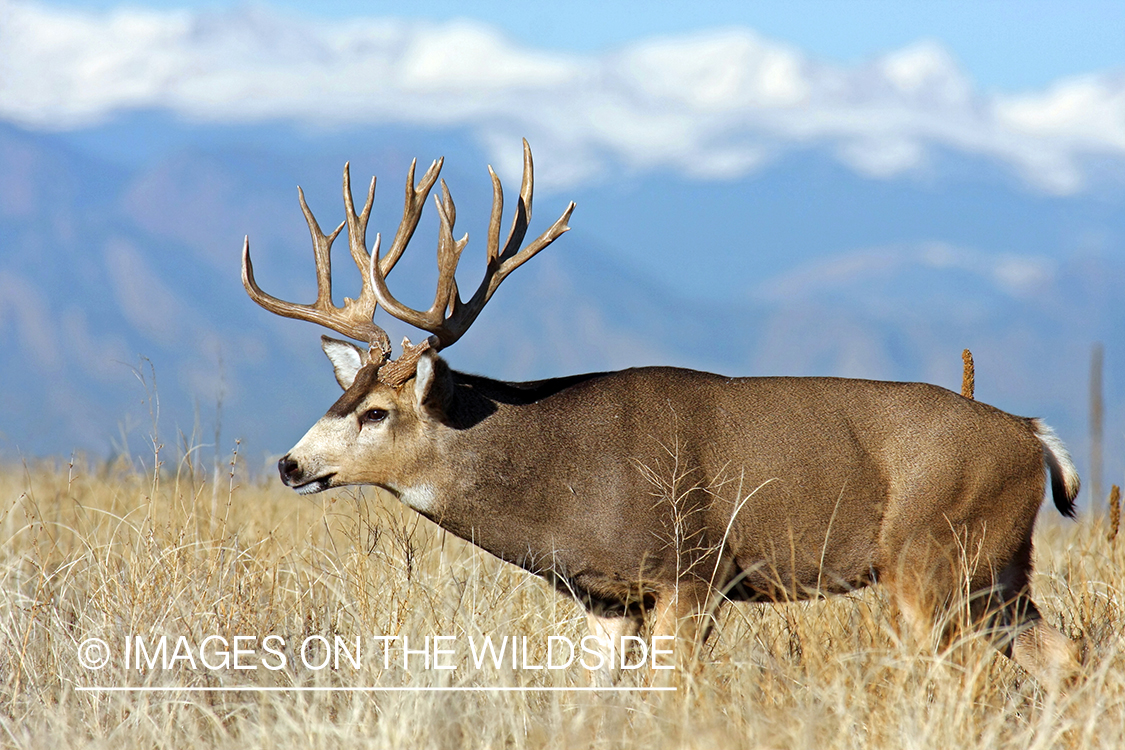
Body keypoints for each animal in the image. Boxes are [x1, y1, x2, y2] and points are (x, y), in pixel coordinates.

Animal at [241, 140, 1081, 684]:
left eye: (375, 413)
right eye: (338, 397)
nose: (289, 463)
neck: (558, 478)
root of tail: (1030, 434)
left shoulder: (691, 571)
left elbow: (671, 695)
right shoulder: (604, 598)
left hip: (934, 553)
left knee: (965, 670)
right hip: (1000, 567)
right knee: (1059, 652)